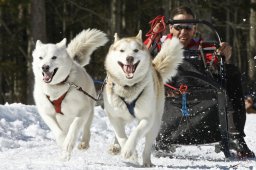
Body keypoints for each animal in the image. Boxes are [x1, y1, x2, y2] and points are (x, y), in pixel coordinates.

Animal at [32, 28, 108, 160]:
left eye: (54, 57)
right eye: (40, 57)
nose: (45, 67)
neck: (57, 88)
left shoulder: (83, 110)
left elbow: (75, 126)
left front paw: (68, 144)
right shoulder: (47, 113)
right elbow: (58, 132)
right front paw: (64, 145)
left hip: (90, 109)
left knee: (86, 128)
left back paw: (84, 143)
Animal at [104, 30, 184, 166]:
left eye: (135, 50)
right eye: (122, 50)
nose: (129, 58)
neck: (129, 88)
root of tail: (156, 69)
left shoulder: (147, 118)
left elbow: (136, 132)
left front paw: (129, 150)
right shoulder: (114, 116)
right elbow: (121, 135)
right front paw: (128, 151)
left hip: (155, 124)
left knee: (147, 146)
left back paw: (147, 162)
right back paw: (115, 147)